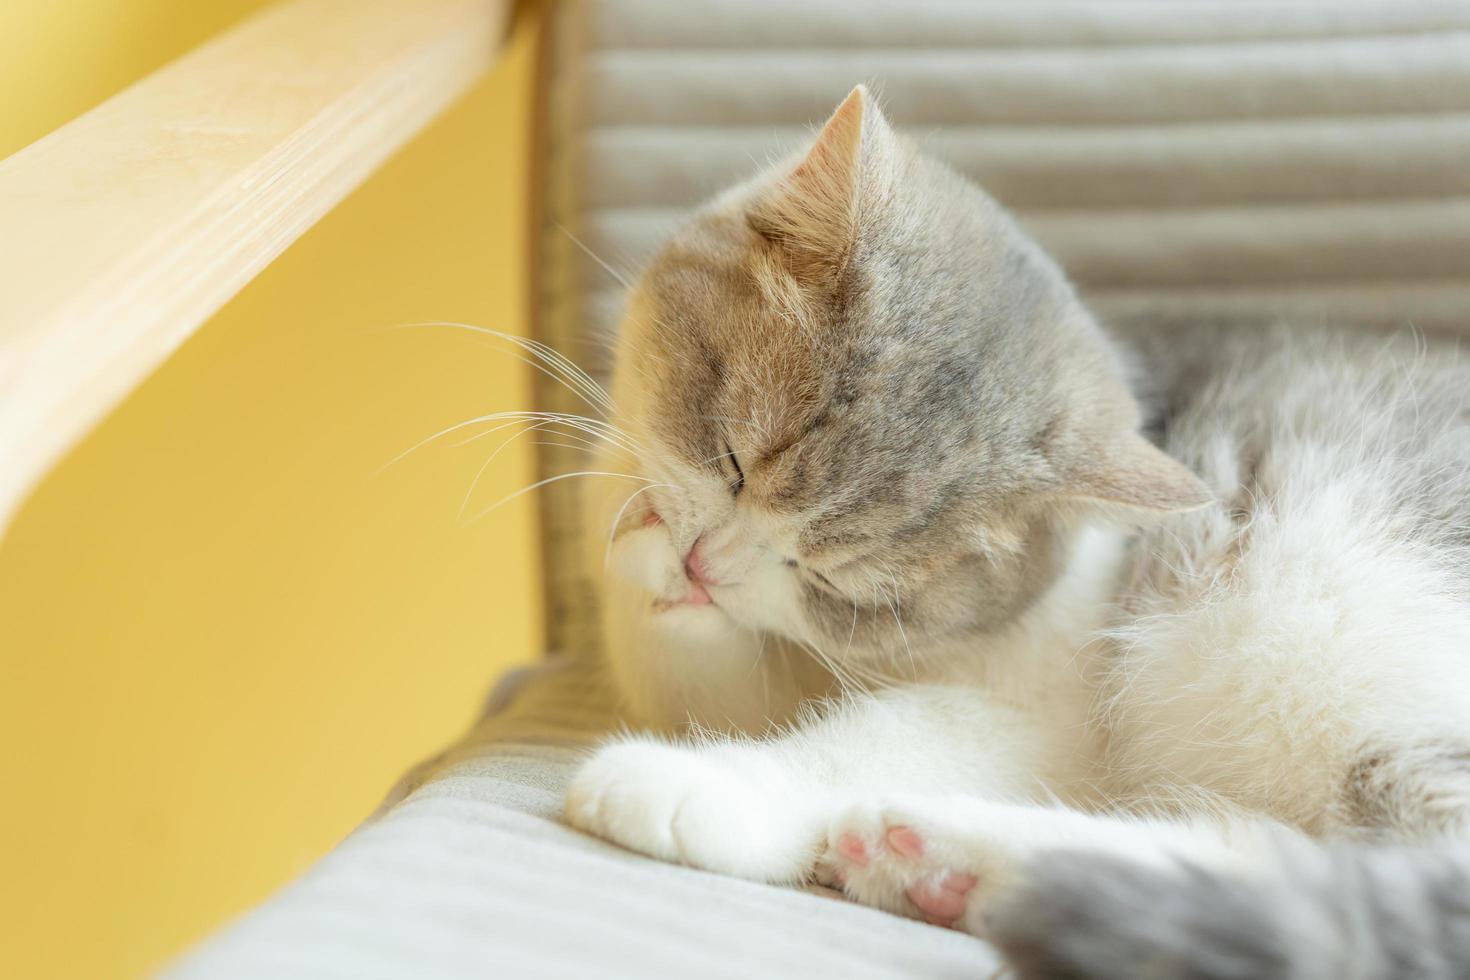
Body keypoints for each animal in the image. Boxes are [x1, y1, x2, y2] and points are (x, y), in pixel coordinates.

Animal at [555, 88, 1470, 975]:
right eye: (734, 459)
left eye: (836, 581)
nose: (704, 565)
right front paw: (644, 552)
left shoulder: (1046, 707)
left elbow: (878, 734)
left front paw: (691, 783)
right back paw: (947, 870)